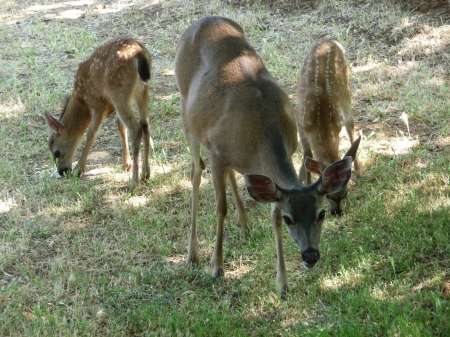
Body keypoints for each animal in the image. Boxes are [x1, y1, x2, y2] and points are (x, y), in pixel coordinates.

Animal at [44, 38, 152, 189]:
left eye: (56, 152)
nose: (62, 171)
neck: (81, 100)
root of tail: (139, 54)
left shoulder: (98, 104)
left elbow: (91, 134)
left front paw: (79, 169)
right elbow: (120, 126)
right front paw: (126, 164)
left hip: (118, 91)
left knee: (135, 128)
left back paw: (134, 183)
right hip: (141, 90)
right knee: (145, 124)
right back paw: (145, 174)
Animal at [298, 39, 362, 215]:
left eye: (345, 192)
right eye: (327, 195)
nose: (337, 212)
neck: (320, 125)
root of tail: (330, 40)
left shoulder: (336, 125)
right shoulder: (300, 123)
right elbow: (306, 153)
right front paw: (305, 183)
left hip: (346, 88)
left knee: (350, 124)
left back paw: (360, 172)